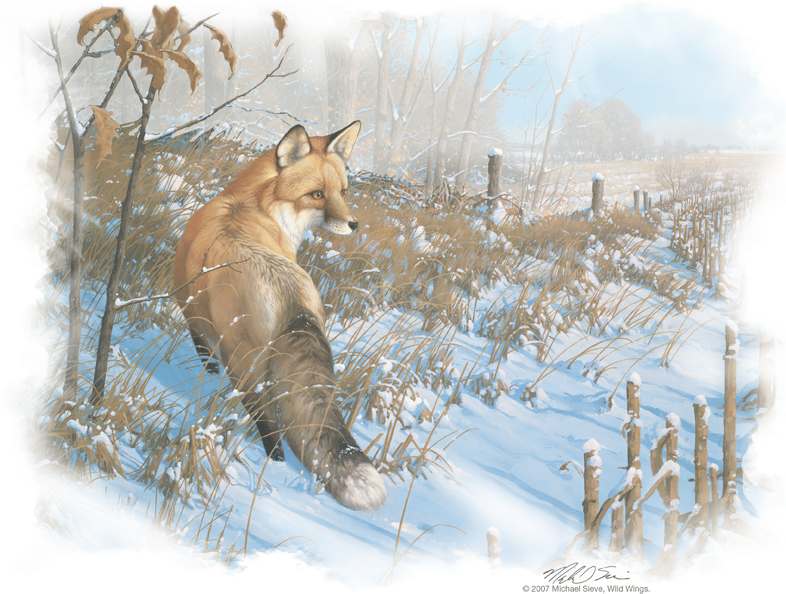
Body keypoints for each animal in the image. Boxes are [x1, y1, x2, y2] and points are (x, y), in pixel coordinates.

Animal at [172, 121, 387, 511]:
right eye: (317, 194)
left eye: (342, 191)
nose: (353, 224)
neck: (253, 204)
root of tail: (289, 294)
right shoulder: (188, 304)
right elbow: (199, 344)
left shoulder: (188, 304)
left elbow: (200, 345)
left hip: (245, 365)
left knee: (265, 417)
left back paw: (273, 462)